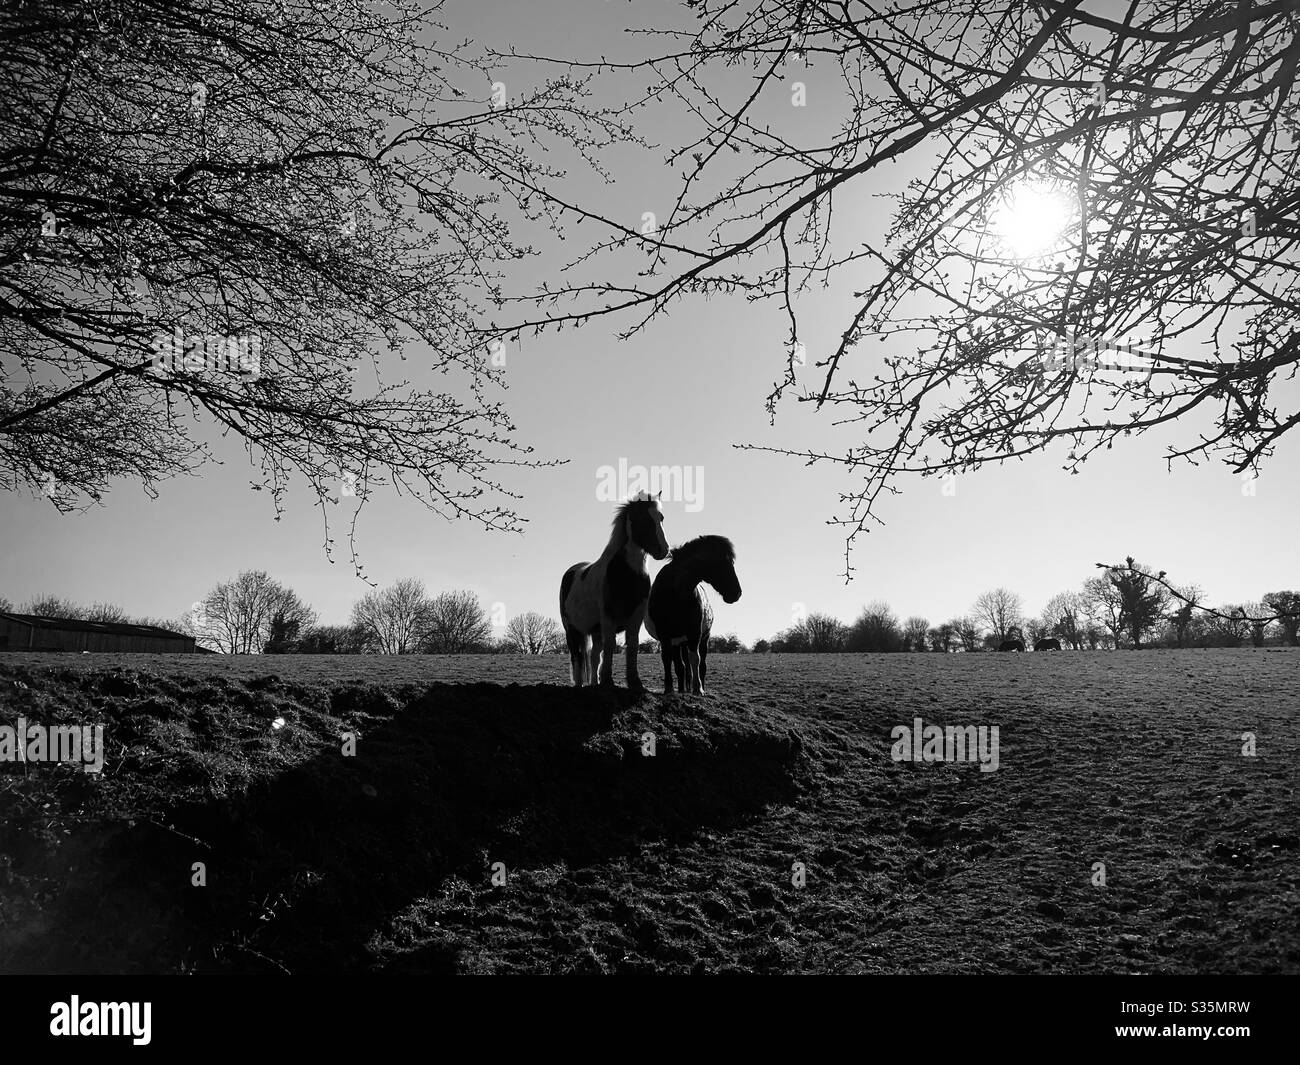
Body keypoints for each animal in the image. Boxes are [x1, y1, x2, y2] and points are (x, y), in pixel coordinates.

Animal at [556, 494, 670, 686]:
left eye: (660, 518)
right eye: (643, 518)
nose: (663, 550)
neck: (626, 573)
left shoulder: (636, 616)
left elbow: (632, 645)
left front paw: (634, 681)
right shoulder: (609, 615)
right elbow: (610, 645)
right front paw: (607, 680)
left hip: (595, 631)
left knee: (593, 656)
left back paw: (594, 683)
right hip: (571, 630)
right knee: (576, 656)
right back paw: (579, 684)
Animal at [642, 533, 738, 702]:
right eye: (724, 562)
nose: (737, 593)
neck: (675, 593)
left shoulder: (695, 633)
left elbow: (696, 660)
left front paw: (698, 689)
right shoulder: (665, 635)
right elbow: (668, 660)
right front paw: (669, 689)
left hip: (702, 638)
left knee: (701, 664)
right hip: (678, 642)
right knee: (681, 666)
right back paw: (681, 689)